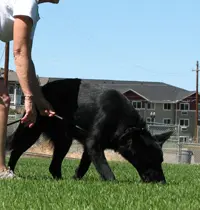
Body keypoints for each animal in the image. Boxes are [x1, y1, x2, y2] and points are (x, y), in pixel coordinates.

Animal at [6, 78, 172, 182]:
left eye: (161, 161)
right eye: (149, 160)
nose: (162, 182)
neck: (122, 122)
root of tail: (41, 90)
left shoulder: (90, 146)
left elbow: (84, 165)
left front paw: (76, 179)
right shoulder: (94, 144)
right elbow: (105, 168)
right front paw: (113, 182)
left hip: (64, 141)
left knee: (53, 166)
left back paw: (60, 181)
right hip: (31, 132)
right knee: (15, 152)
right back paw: (10, 171)